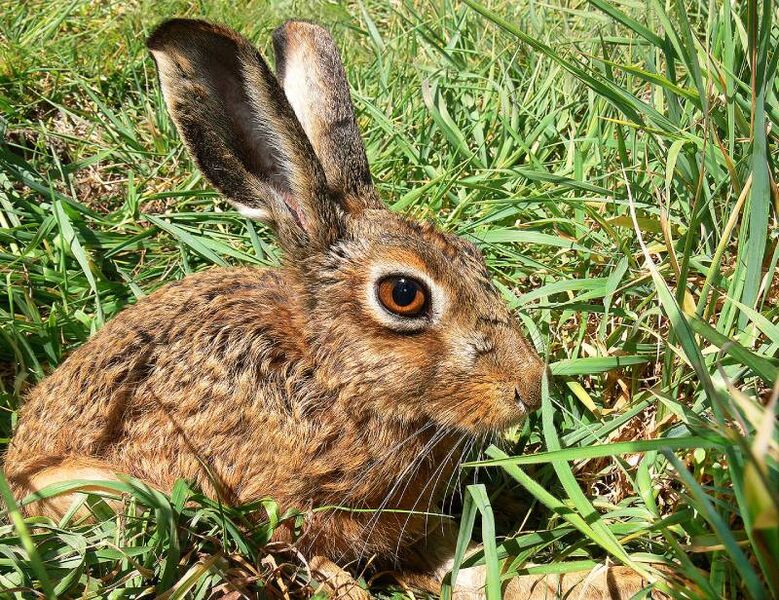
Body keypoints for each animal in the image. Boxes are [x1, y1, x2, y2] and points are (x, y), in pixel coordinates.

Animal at [4, 19, 665, 599]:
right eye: (404, 294)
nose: (528, 389)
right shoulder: (294, 513)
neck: (331, 374)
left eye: (475, 256)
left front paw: (628, 578)